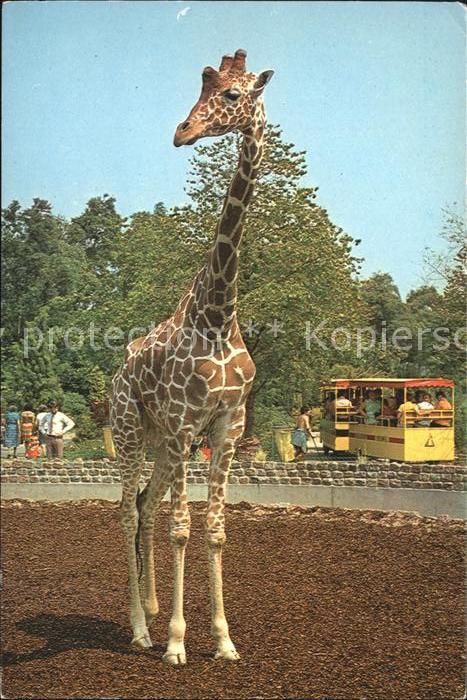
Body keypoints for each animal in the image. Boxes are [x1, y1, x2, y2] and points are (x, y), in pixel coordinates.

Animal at [110, 49, 274, 665]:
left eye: (232, 94)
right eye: (201, 87)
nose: (182, 131)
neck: (218, 316)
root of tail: (117, 371)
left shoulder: (227, 425)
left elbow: (215, 528)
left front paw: (224, 639)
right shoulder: (186, 425)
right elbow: (183, 526)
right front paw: (179, 644)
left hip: (161, 444)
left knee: (146, 506)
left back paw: (152, 611)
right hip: (132, 430)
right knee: (127, 510)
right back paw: (140, 628)